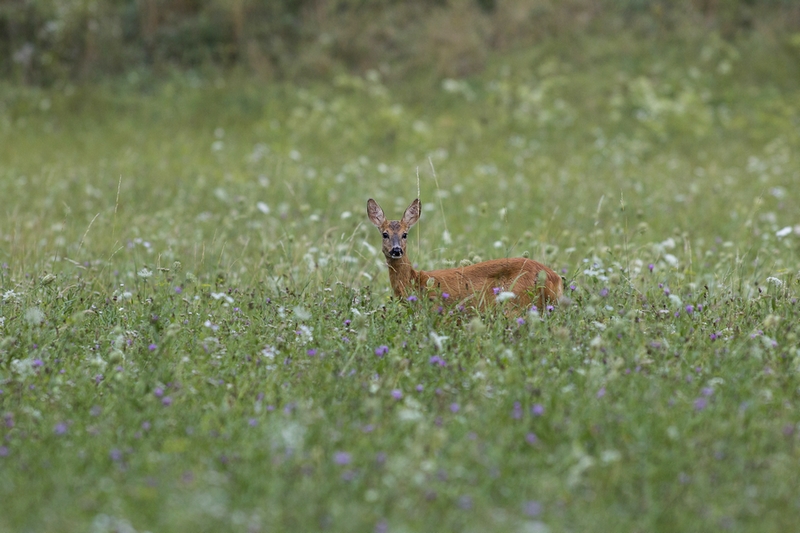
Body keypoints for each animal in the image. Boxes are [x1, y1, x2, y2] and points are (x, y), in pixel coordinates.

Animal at [368, 196, 564, 314]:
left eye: (405, 234)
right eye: (384, 234)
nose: (396, 250)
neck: (415, 282)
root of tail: (555, 278)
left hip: (517, 304)